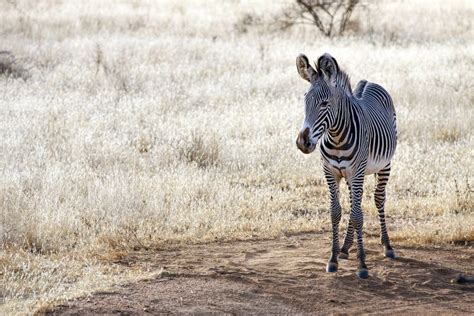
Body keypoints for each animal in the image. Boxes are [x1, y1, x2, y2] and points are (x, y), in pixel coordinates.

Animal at [294, 53, 398, 278]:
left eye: (325, 103)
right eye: (305, 100)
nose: (303, 142)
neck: (336, 138)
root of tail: (367, 82)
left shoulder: (357, 171)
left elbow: (358, 215)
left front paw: (362, 264)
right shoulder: (330, 172)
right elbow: (336, 212)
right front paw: (333, 258)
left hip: (384, 165)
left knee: (378, 199)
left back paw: (387, 245)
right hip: (352, 176)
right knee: (353, 202)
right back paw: (345, 247)